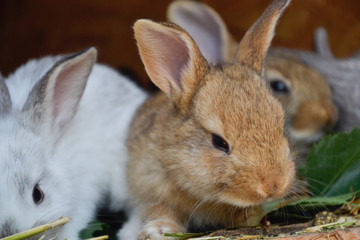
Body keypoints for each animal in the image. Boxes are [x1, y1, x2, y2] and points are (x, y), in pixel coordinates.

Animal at [118, 0, 296, 240]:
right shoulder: (149, 184)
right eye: (219, 142)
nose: (273, 186)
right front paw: (161, 230)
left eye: (281, 127)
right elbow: (162, 209)